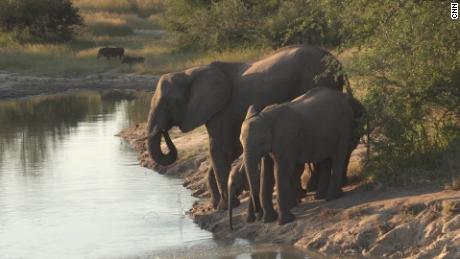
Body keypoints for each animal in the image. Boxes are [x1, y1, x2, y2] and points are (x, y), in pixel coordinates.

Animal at [142, 45, 350, 211]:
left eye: (169, 103)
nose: (162, 130)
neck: (191, 72)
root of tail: (337, 62)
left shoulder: (222, 110)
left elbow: (219, 150)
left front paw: (225, 206)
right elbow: (231, 150)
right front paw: (218, 204)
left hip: (315, 81)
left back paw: (314, 190)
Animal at [241, 87, 366, 225]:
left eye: (261, 142)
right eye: (241, 142)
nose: (257, 213)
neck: (266, 117)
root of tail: (344, 96)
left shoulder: (287, 139)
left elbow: (281, 171)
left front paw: (286, 221)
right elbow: (266, 174)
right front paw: (269, 220)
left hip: (344, 124)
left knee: (339, 154)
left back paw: (333, 196)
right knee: (327, 159)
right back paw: (322, 196)